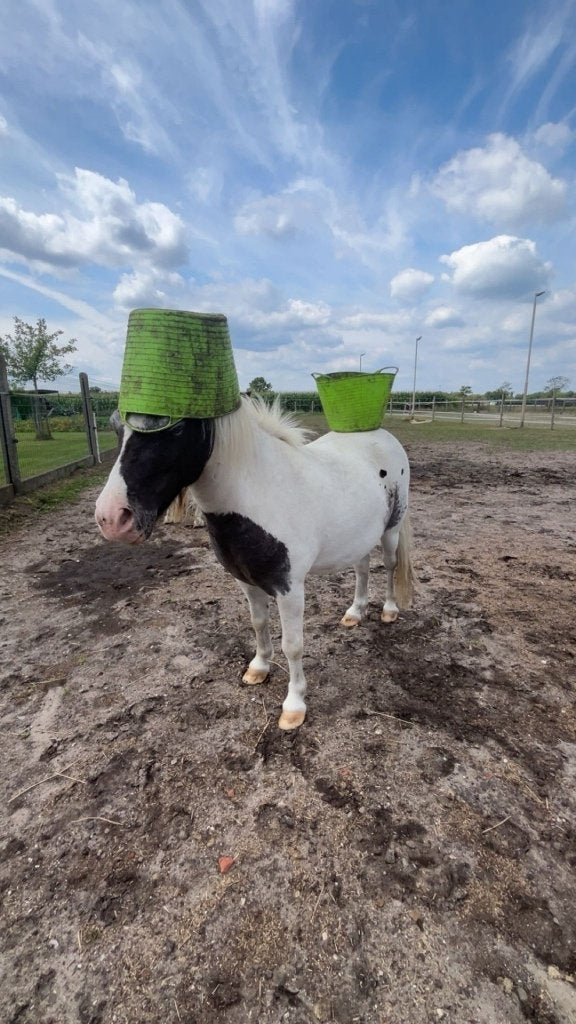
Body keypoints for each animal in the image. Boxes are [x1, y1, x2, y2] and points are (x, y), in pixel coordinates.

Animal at [95, 397, 414, 730]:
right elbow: (258, 623)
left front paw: (294, 707)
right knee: (362, 568)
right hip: (358, 538)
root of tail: (380, 436)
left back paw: (389, 611)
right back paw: (354, 612)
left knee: (389, 566)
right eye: (115, 425)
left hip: (391, 530)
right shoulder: (246, 580)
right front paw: (258, 668)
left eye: (177, 428)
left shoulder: (290, 589)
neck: (261, 495)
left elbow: (293, 645)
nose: (111, 518)